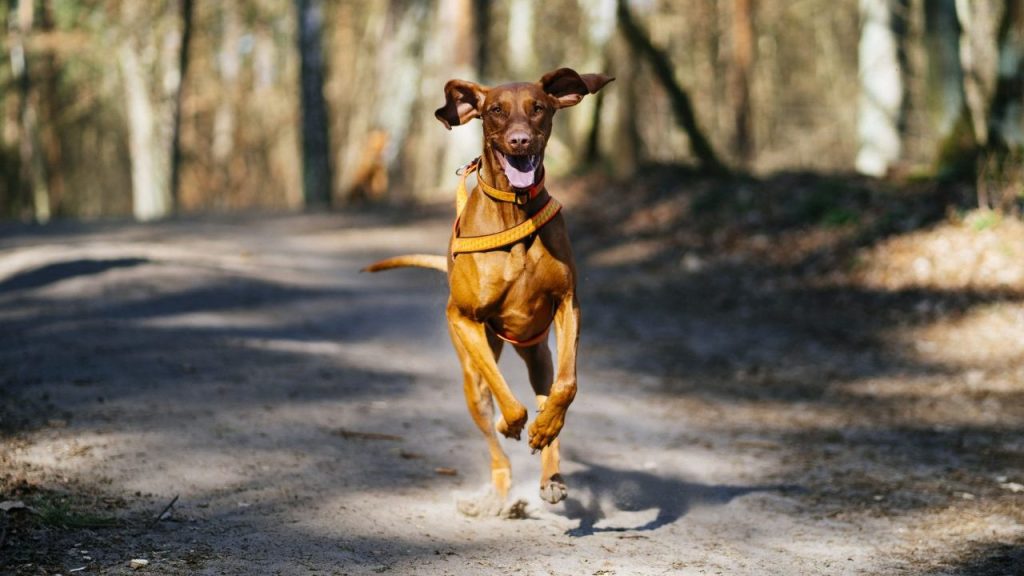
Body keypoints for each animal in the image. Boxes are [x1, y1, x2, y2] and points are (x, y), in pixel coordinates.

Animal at [364, 68, 610, 510]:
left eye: (538, 108)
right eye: (495, 110)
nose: (520, 141)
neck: (514, 208)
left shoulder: (568, 303)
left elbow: (567, 386)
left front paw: (545, 428)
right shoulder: (463, 319)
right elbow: (506, 401)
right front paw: (509, 423)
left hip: (537, 355)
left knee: (548, 392)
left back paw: (551, 472)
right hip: (471, 374)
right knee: (492, 423)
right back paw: (499, 493)